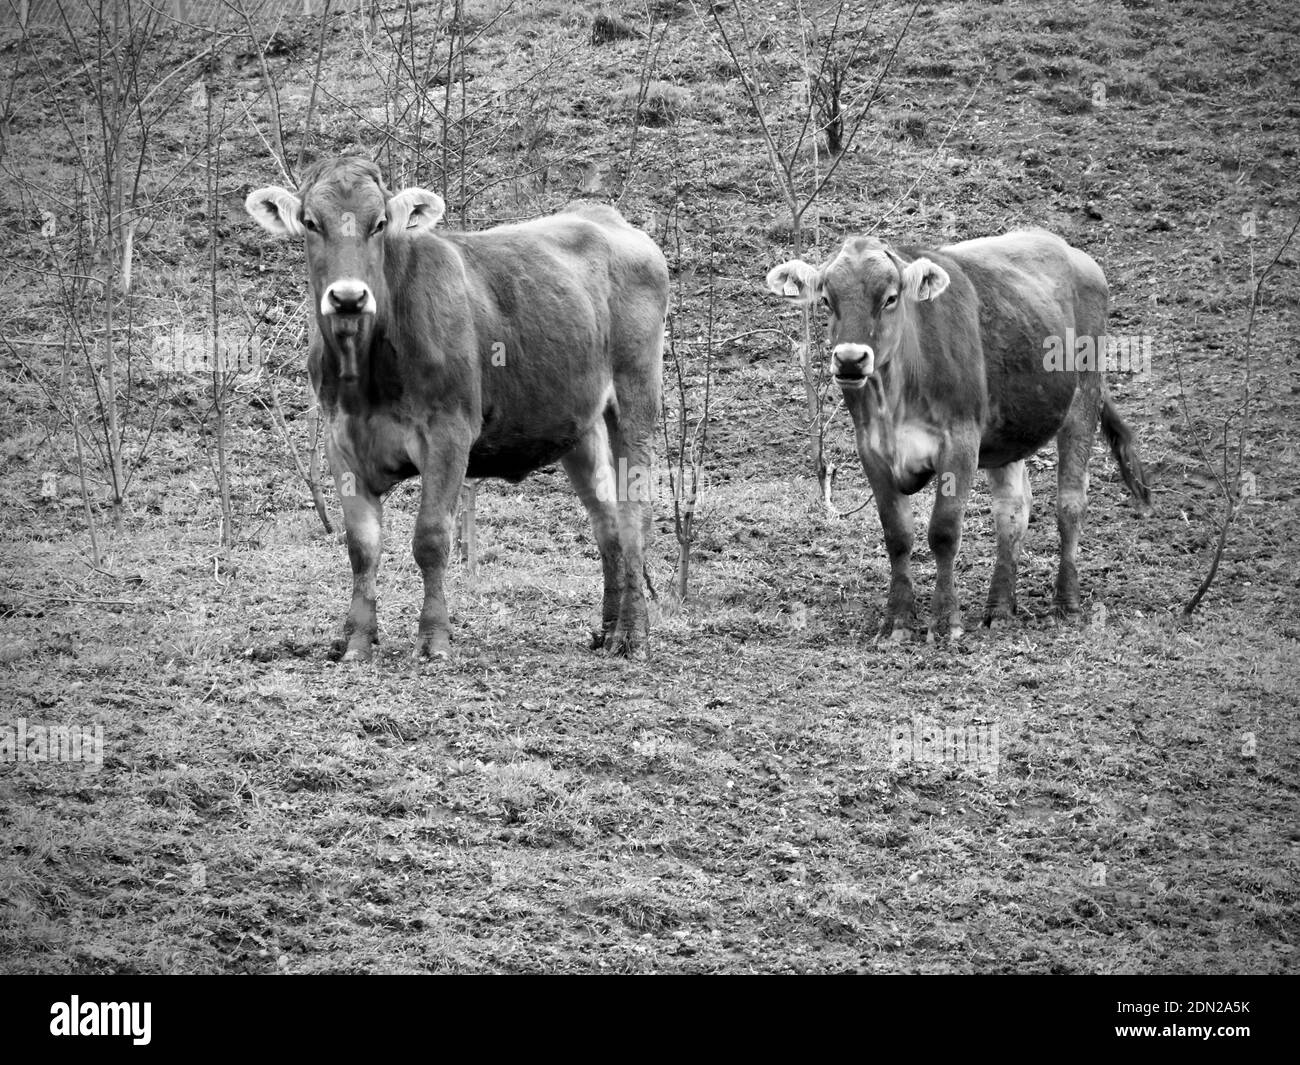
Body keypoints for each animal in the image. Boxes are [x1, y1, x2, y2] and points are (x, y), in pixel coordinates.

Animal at [245, 157, 668, 660]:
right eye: (311, 223)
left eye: (379, 224)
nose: (348, 297)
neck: (367, 369)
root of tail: (605, 218)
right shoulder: (340, 439)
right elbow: (361, 547)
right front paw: (358, 641)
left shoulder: (448, 432)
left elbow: (430, 538)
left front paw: (433, 639)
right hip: (578, 425)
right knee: (606, 520)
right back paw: (606, 629)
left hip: (635, 396)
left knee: (634, 515)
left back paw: (633, 634)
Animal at [766, 230, 1149, 640]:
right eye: (826, 300)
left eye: (890, 298)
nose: (851, 360)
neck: (897, 396)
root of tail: (1070, 250)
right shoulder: (871, 449)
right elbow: (897, 536)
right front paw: (898, 620)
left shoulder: (960, 442)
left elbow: (944, 532)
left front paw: (945, 620)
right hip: (1008, 433)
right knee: (1013, 511)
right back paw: (1000, 607)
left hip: (1083, 400)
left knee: (1070, 504)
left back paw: (1067, 603)